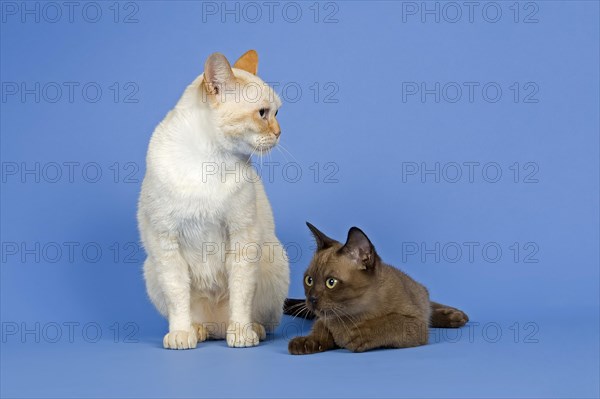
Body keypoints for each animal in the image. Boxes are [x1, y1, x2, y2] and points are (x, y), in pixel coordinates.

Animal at [141, 50, 290, 350]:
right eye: (263, 113)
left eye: (277, 113)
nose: (279, 133)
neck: (207, 163)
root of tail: (217, 327)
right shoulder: (165, 242)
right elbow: (178, 296)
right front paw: (181, 334)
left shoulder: (242, 237)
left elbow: (241, 294)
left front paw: (242, 335)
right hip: (151, 268)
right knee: (200, 320)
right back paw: (197, 330)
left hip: (273, 257)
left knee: (258, 319)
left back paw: (249, 330)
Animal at [284, 222, 468, 356]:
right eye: (309, 280)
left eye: (331, 282)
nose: (311, 299)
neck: (350, 315)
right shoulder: (324, 318)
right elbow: (319, 329)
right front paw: (306, 342)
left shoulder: (415, 323)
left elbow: (392, 320)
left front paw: (359, 334)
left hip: (420, 297)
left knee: (429, 307)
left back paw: (454, 316)